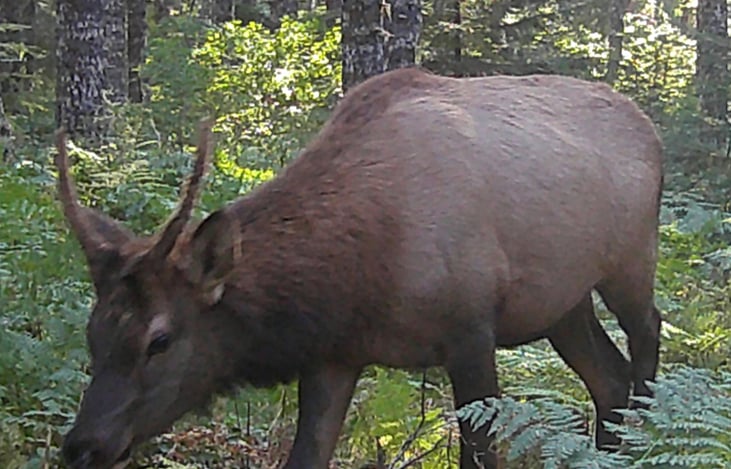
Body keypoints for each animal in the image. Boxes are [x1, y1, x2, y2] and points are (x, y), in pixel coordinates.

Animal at [57, 67, 663, 469]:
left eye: (159, 340)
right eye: (92, 333)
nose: (82, 446)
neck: (361, 273)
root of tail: (648, 127)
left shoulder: (471, 329)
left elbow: (481, 455)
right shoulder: (336, 354)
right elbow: (305, 457)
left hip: (631, 261)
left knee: (647, 336)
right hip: (562, 302)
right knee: (609, 380)